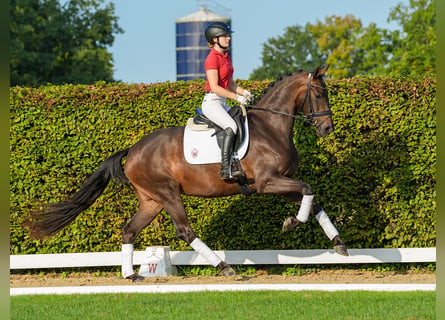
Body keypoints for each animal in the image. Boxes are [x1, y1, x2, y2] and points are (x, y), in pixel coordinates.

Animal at [24, 65, 348, 282]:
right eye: (319, 93)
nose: (327, 129)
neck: (271, 127)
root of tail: (133, 149)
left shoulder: (278, 185)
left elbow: (312, 200)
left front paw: (339, 244)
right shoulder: (268, 183)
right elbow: (308, 190)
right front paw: (292, 223)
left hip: (152, 200)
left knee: (129, 230)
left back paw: (131, 275)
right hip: (168, 193)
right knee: (184, 230)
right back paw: (223, 266)